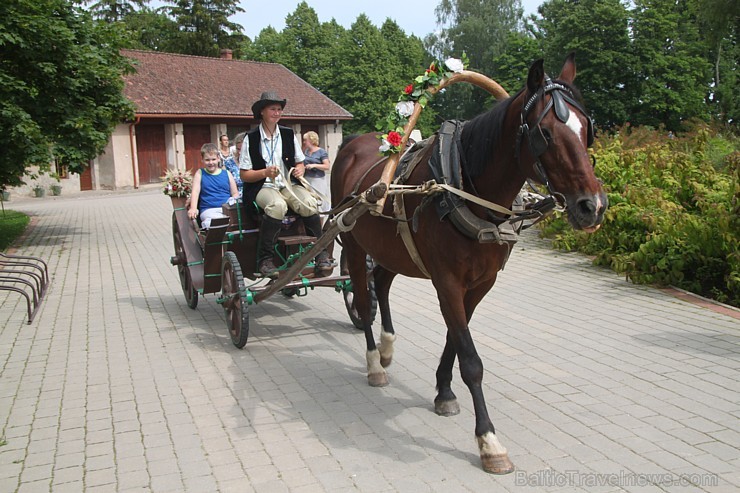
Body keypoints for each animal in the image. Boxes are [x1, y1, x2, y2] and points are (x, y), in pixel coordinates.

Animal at [330, 54, 608, 472]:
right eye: (544, 132)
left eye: (586, 130)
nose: (592, 206)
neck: (463, 185)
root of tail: (353, 143)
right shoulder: (447, 281)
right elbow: (471, 359)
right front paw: (489, 441)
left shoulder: (479, 284)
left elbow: (454, 340)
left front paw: (444, 392)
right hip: (351, 243)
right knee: (363, 299)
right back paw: (375, 363)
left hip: (392, 249)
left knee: (382, 281)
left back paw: (388, 346)